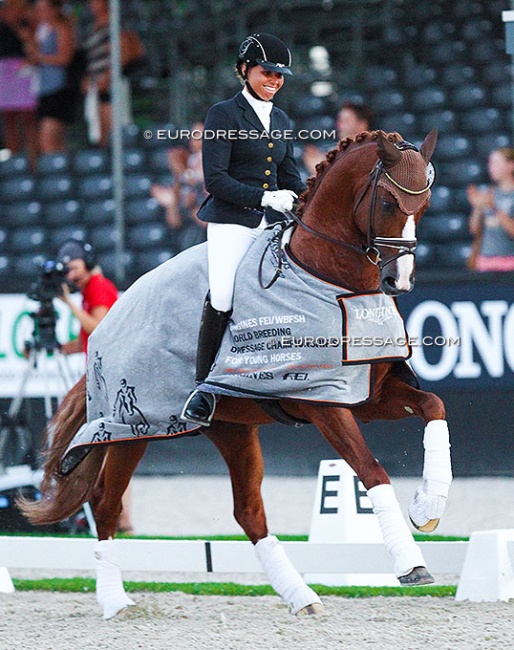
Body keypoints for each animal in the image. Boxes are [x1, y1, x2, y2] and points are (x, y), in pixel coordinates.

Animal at [18, 130, 450, 616]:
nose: (400, 282)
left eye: (425, 204)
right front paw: (411, 562)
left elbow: (434, 406)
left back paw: (302, 597)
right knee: (106, 504)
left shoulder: (366, 397)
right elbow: (372, 471)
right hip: (131, 428)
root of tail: (108, 323)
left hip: (232, 428)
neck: (329, 282)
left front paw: (428, 505)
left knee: (248, 512)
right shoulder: (321, 402)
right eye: (391, 202)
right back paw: (114, 601)